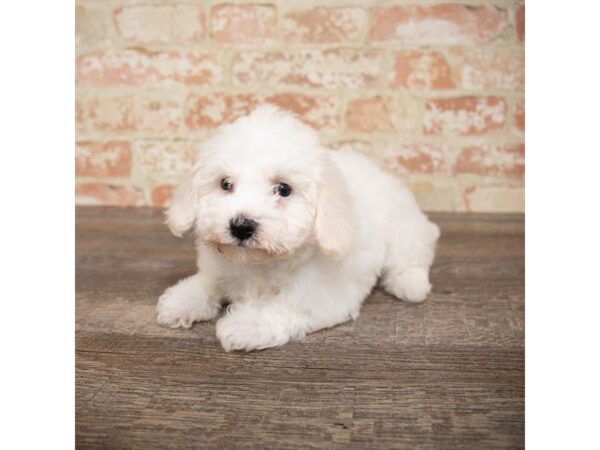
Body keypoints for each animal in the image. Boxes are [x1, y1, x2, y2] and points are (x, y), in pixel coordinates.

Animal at [156, 105, 440, 352]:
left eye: (284, 189)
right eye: (225, 184)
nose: (241, 226)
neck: (257, 264)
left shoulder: (323, 294)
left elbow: (287, 305)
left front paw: (246, 325)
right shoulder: (219, 269)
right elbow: (207, 282)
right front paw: (182, 300)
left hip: (404, 230)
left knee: (411, 256)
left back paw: (410, 284)